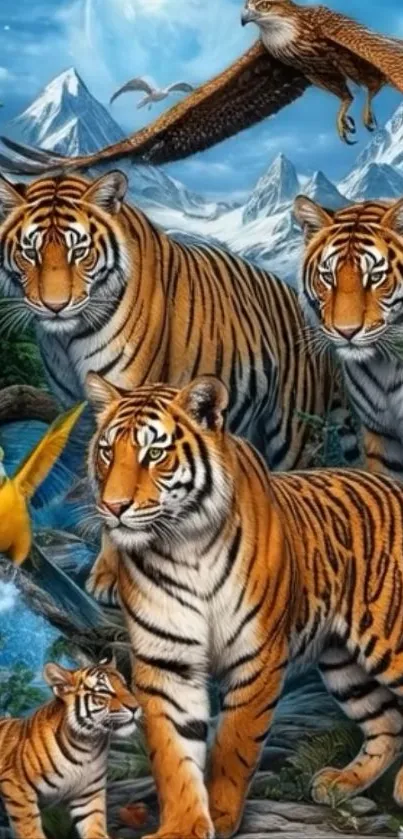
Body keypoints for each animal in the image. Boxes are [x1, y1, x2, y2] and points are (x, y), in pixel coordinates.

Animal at [0, 656, 141, 839]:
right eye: (104, 692)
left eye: (125, 686)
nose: (136, 707)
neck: (88, 744)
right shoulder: (16, 787)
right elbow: (30, 830)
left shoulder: (88, 797)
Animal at [86, 370, 403, 839]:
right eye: (108, 451)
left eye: (154, 453)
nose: (113, 506)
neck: (185, 545)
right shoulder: (167, 662)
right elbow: (172, 753)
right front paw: (183, 825)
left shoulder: (258, 657)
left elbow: (235, 743)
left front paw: (219, 815)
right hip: (343, 663)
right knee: (387, 723)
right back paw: (340, 783)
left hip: (388, 641)